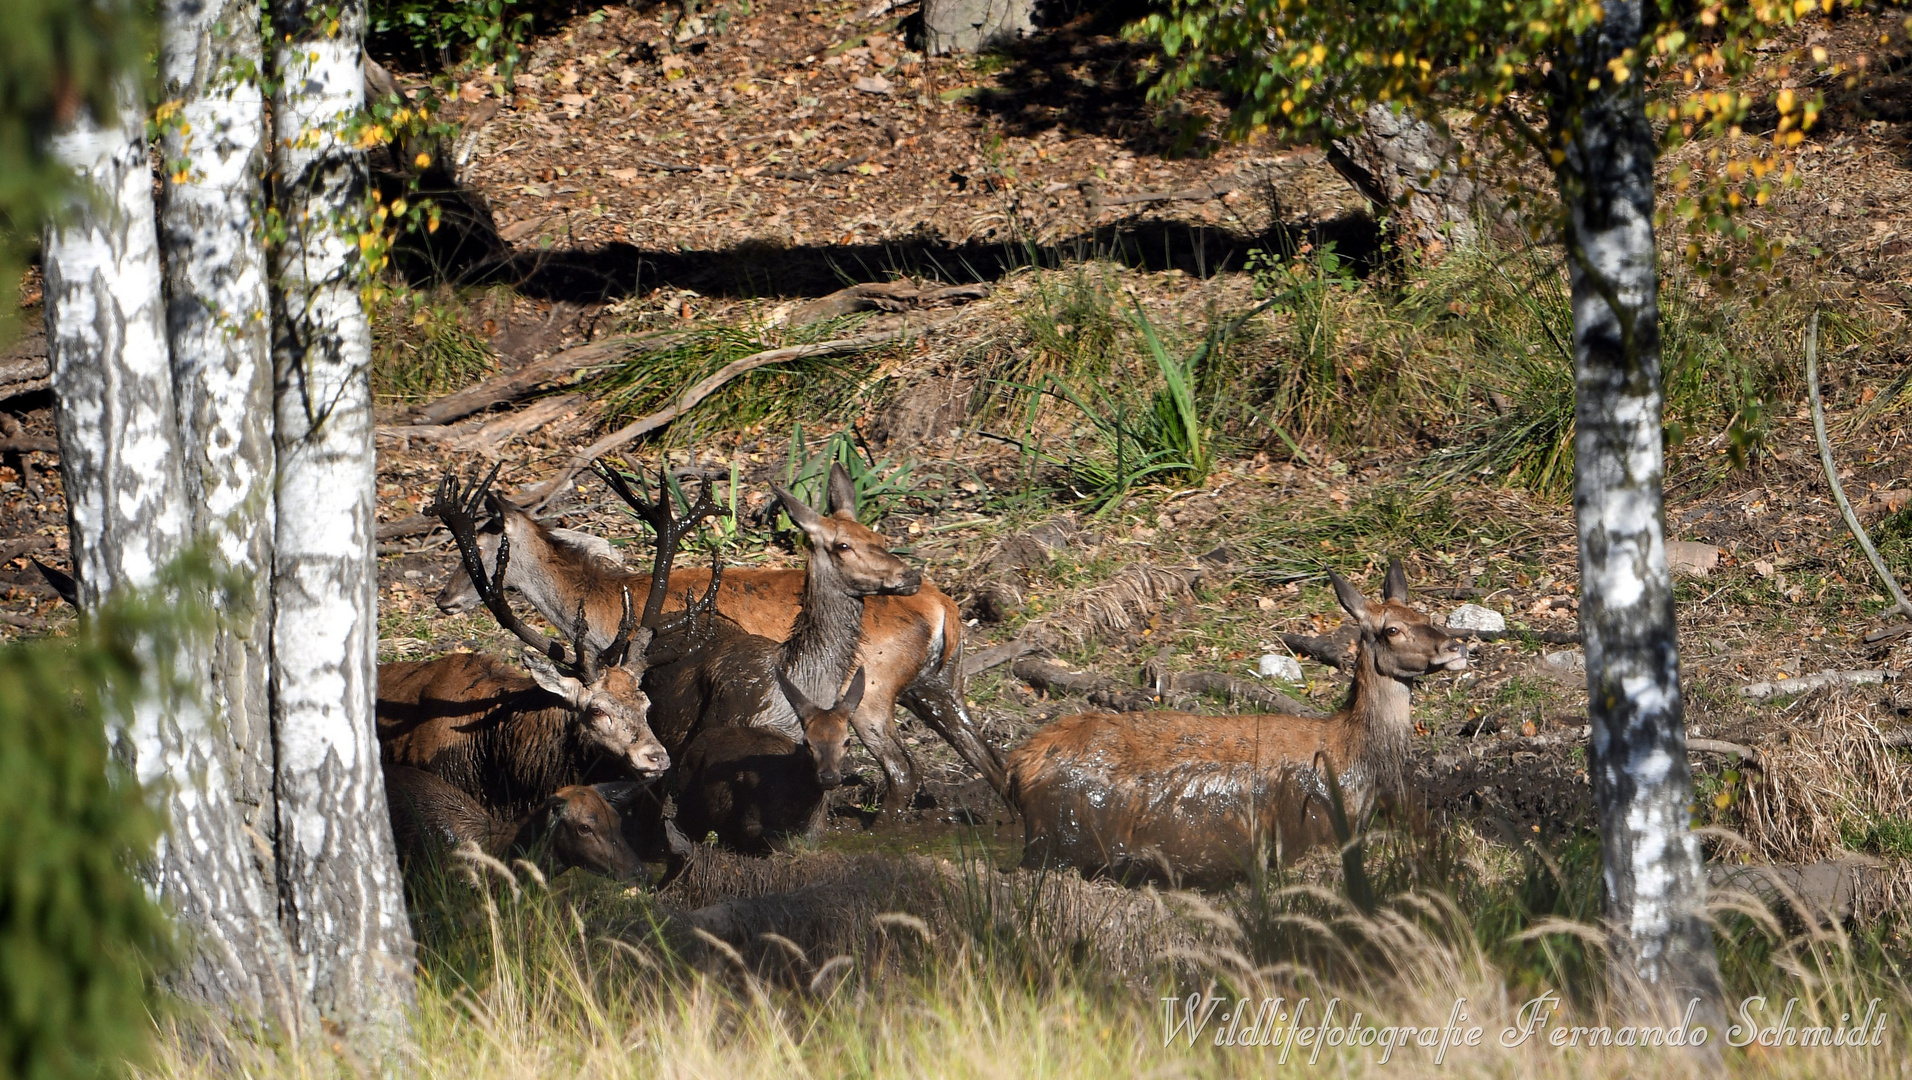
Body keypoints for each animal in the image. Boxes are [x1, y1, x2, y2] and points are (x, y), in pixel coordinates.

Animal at [434, 460, 1001, 810]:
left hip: (875, 693)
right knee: (986, 757)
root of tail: (946, 607)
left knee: (904, 771)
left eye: (485, 539)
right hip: (939, 685)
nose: (443, 596)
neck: (600, 605)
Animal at [1001, 561, 1460, 879]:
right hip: (1060, 836)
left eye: (1426, 615)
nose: (1456, 647)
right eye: (1391, 630)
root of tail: (1016, 765)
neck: (1355, 761)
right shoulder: (1310, 832)